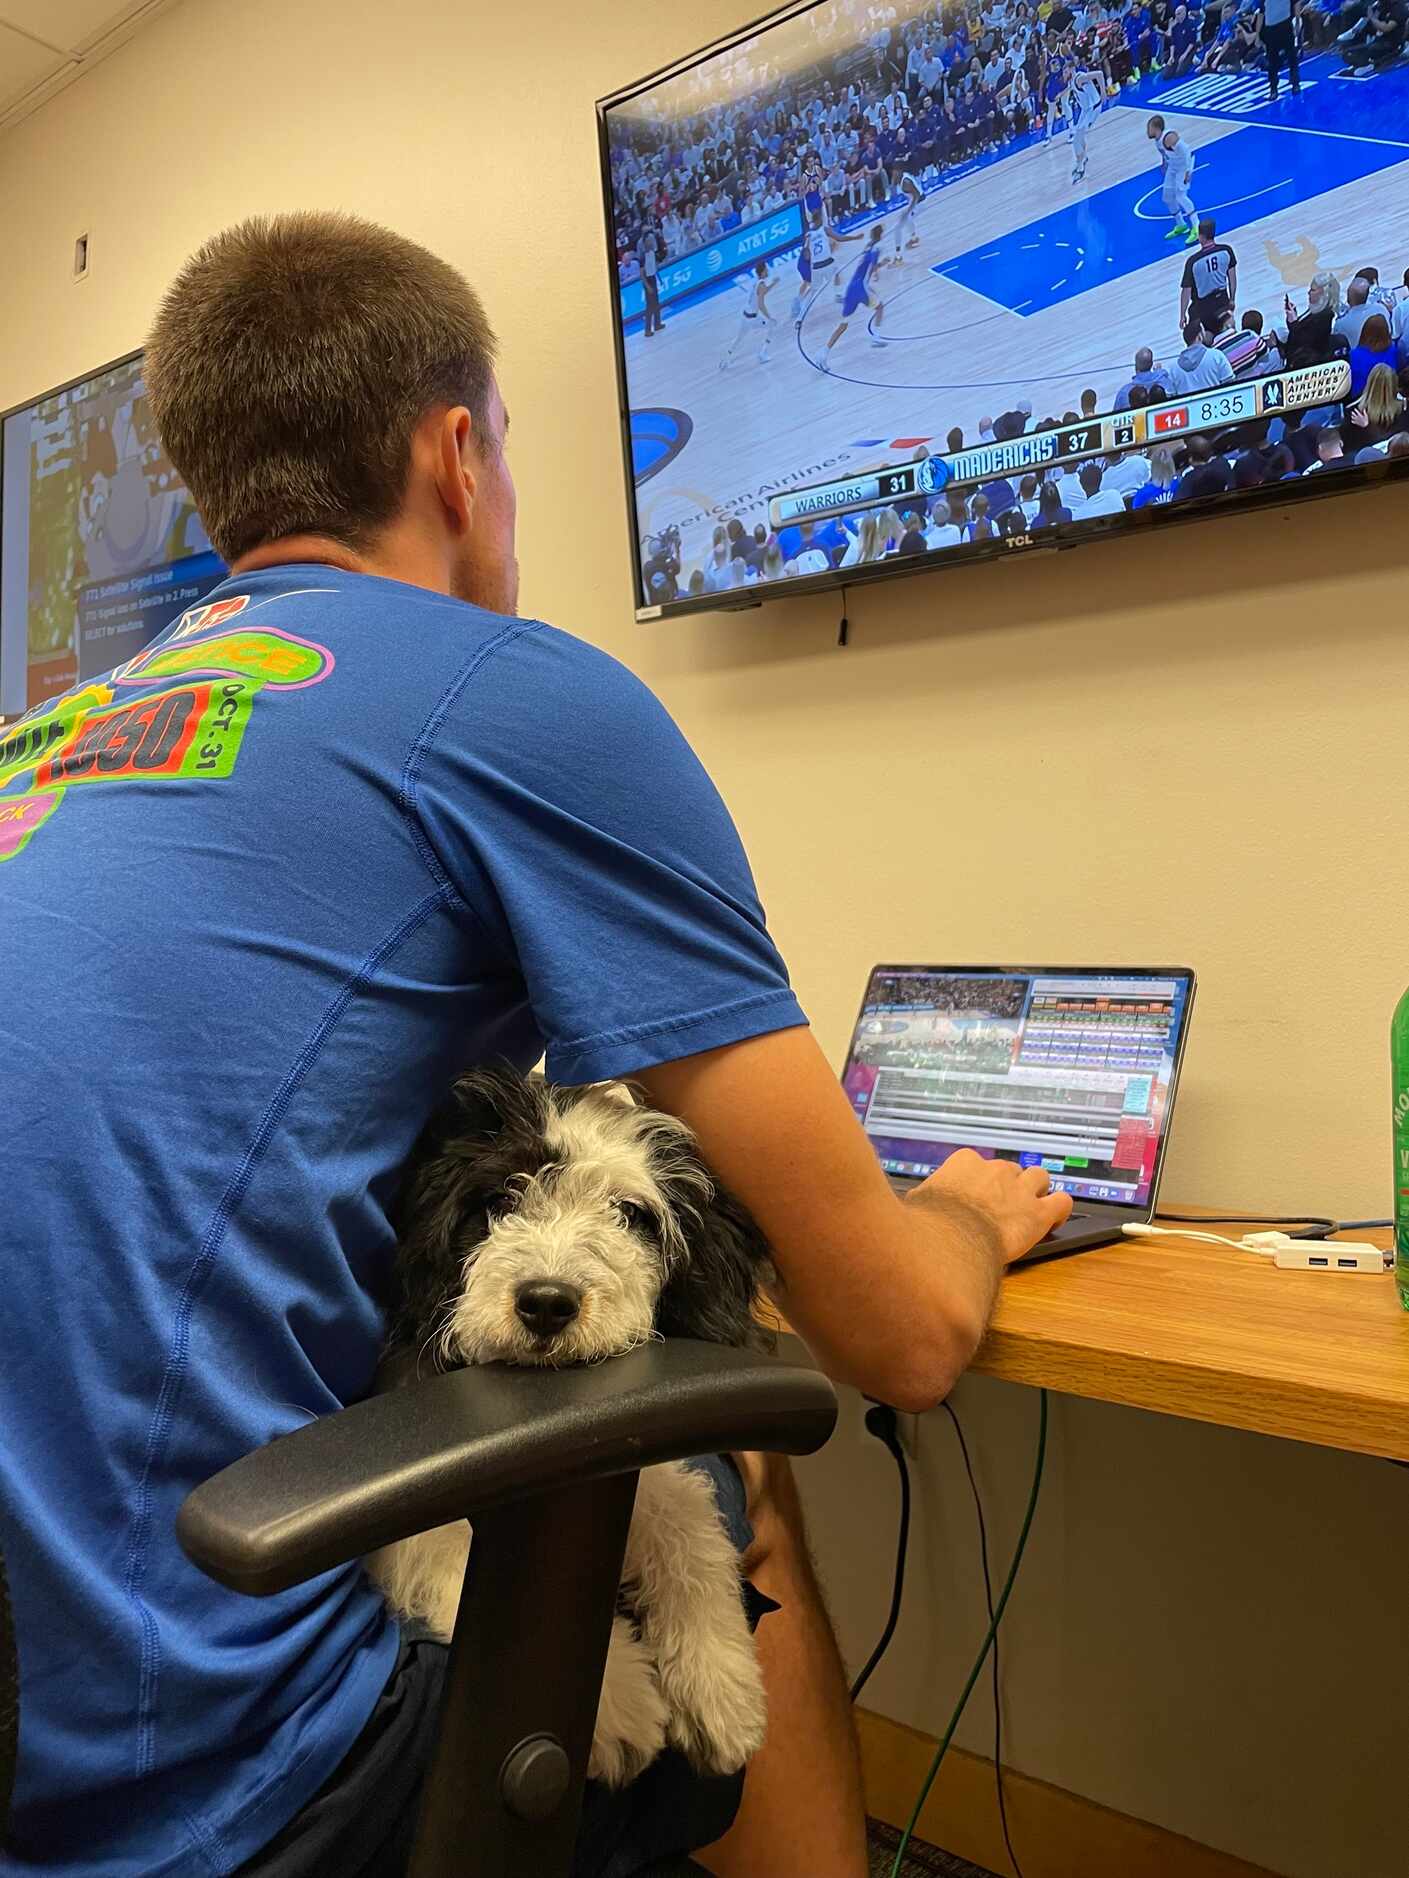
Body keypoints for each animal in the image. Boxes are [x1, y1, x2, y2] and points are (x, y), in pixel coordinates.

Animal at [370, 1066, 777, 1780]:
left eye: (631, 1214)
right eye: (498, 1198)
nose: (546, 1303)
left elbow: (687, 1519)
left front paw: (720, 1683)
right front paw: (614, 1700)